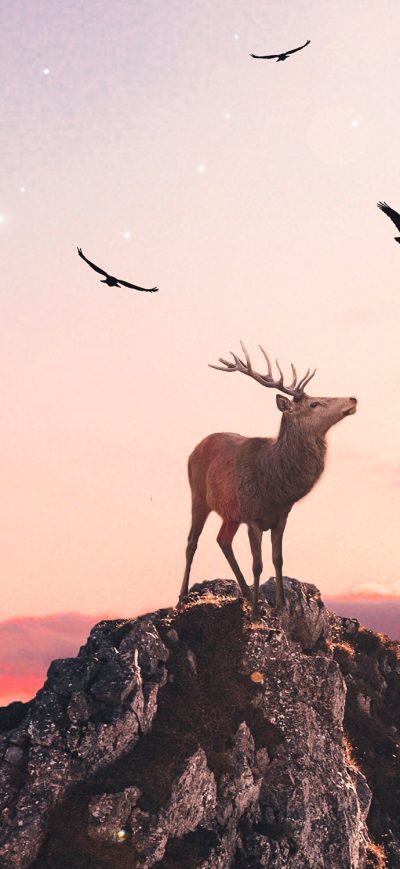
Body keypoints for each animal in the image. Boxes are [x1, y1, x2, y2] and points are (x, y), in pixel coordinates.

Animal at [180, 343, 357, 620]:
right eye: (315, 403)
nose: (353, 398)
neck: (275, 487)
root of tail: (195, 448)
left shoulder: (281, 516)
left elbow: (278, 558)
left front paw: (280, 604)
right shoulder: (252, 516)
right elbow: (258, 564)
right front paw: (255, 613)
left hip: (231, 514)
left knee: (222, 540)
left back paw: (243, 592)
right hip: (198, 495)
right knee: (191, 542)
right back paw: (181, 597)